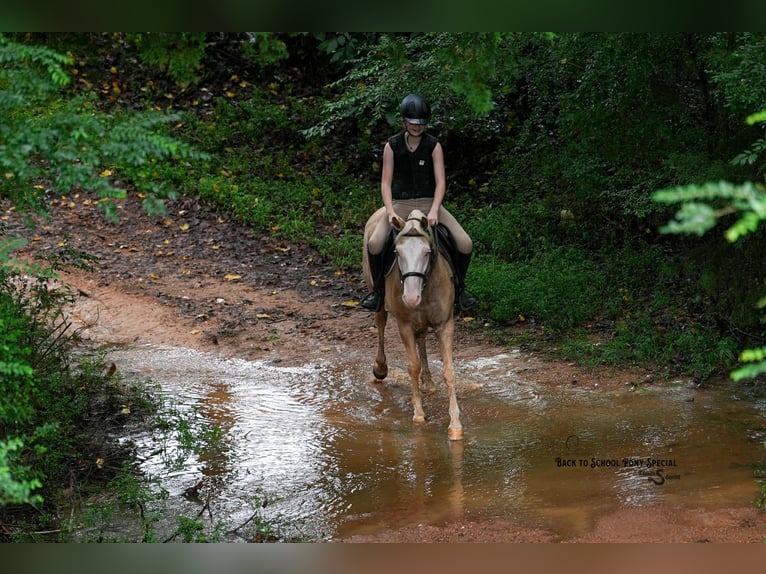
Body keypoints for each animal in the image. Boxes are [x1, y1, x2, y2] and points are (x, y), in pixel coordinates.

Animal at [362, 207, 463, 440]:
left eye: (427, 252)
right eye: (397, 253)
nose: (410, 298)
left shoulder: (445, 324)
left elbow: (449, 371)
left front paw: (455, 425)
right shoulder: (404, 325)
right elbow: (413, 366)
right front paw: (418, 413)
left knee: (422, 338)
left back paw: (428, 382)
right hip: (378, 298)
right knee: (381, 324)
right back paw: (380, 369)